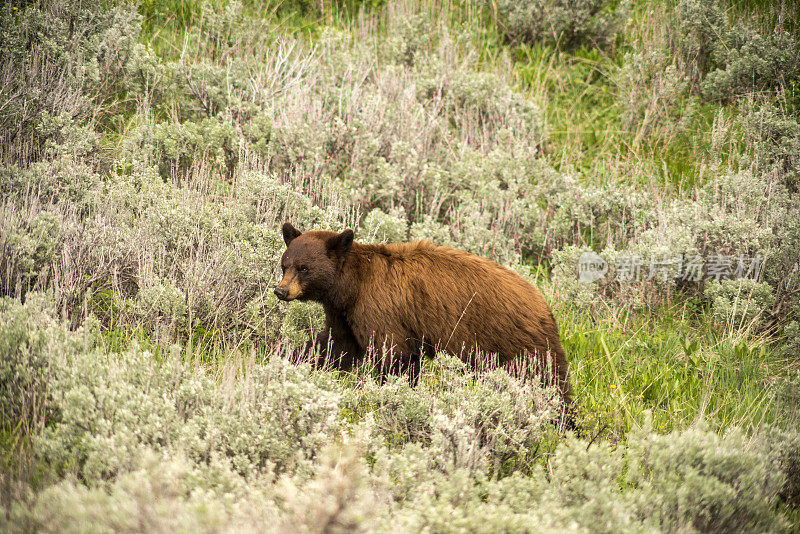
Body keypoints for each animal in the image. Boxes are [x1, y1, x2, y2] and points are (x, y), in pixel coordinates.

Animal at [276, 222, 576, 422]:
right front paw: (292, 360)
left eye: (304, 268)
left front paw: (392, 397)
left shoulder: (383, 311)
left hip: (514, 340)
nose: (281, 291)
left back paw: (562, 421)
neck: (352, 287)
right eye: (284, 264)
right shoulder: (345, 316)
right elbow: (334, 346)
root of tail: (543, 303)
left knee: (548, 379)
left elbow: (395, 357)